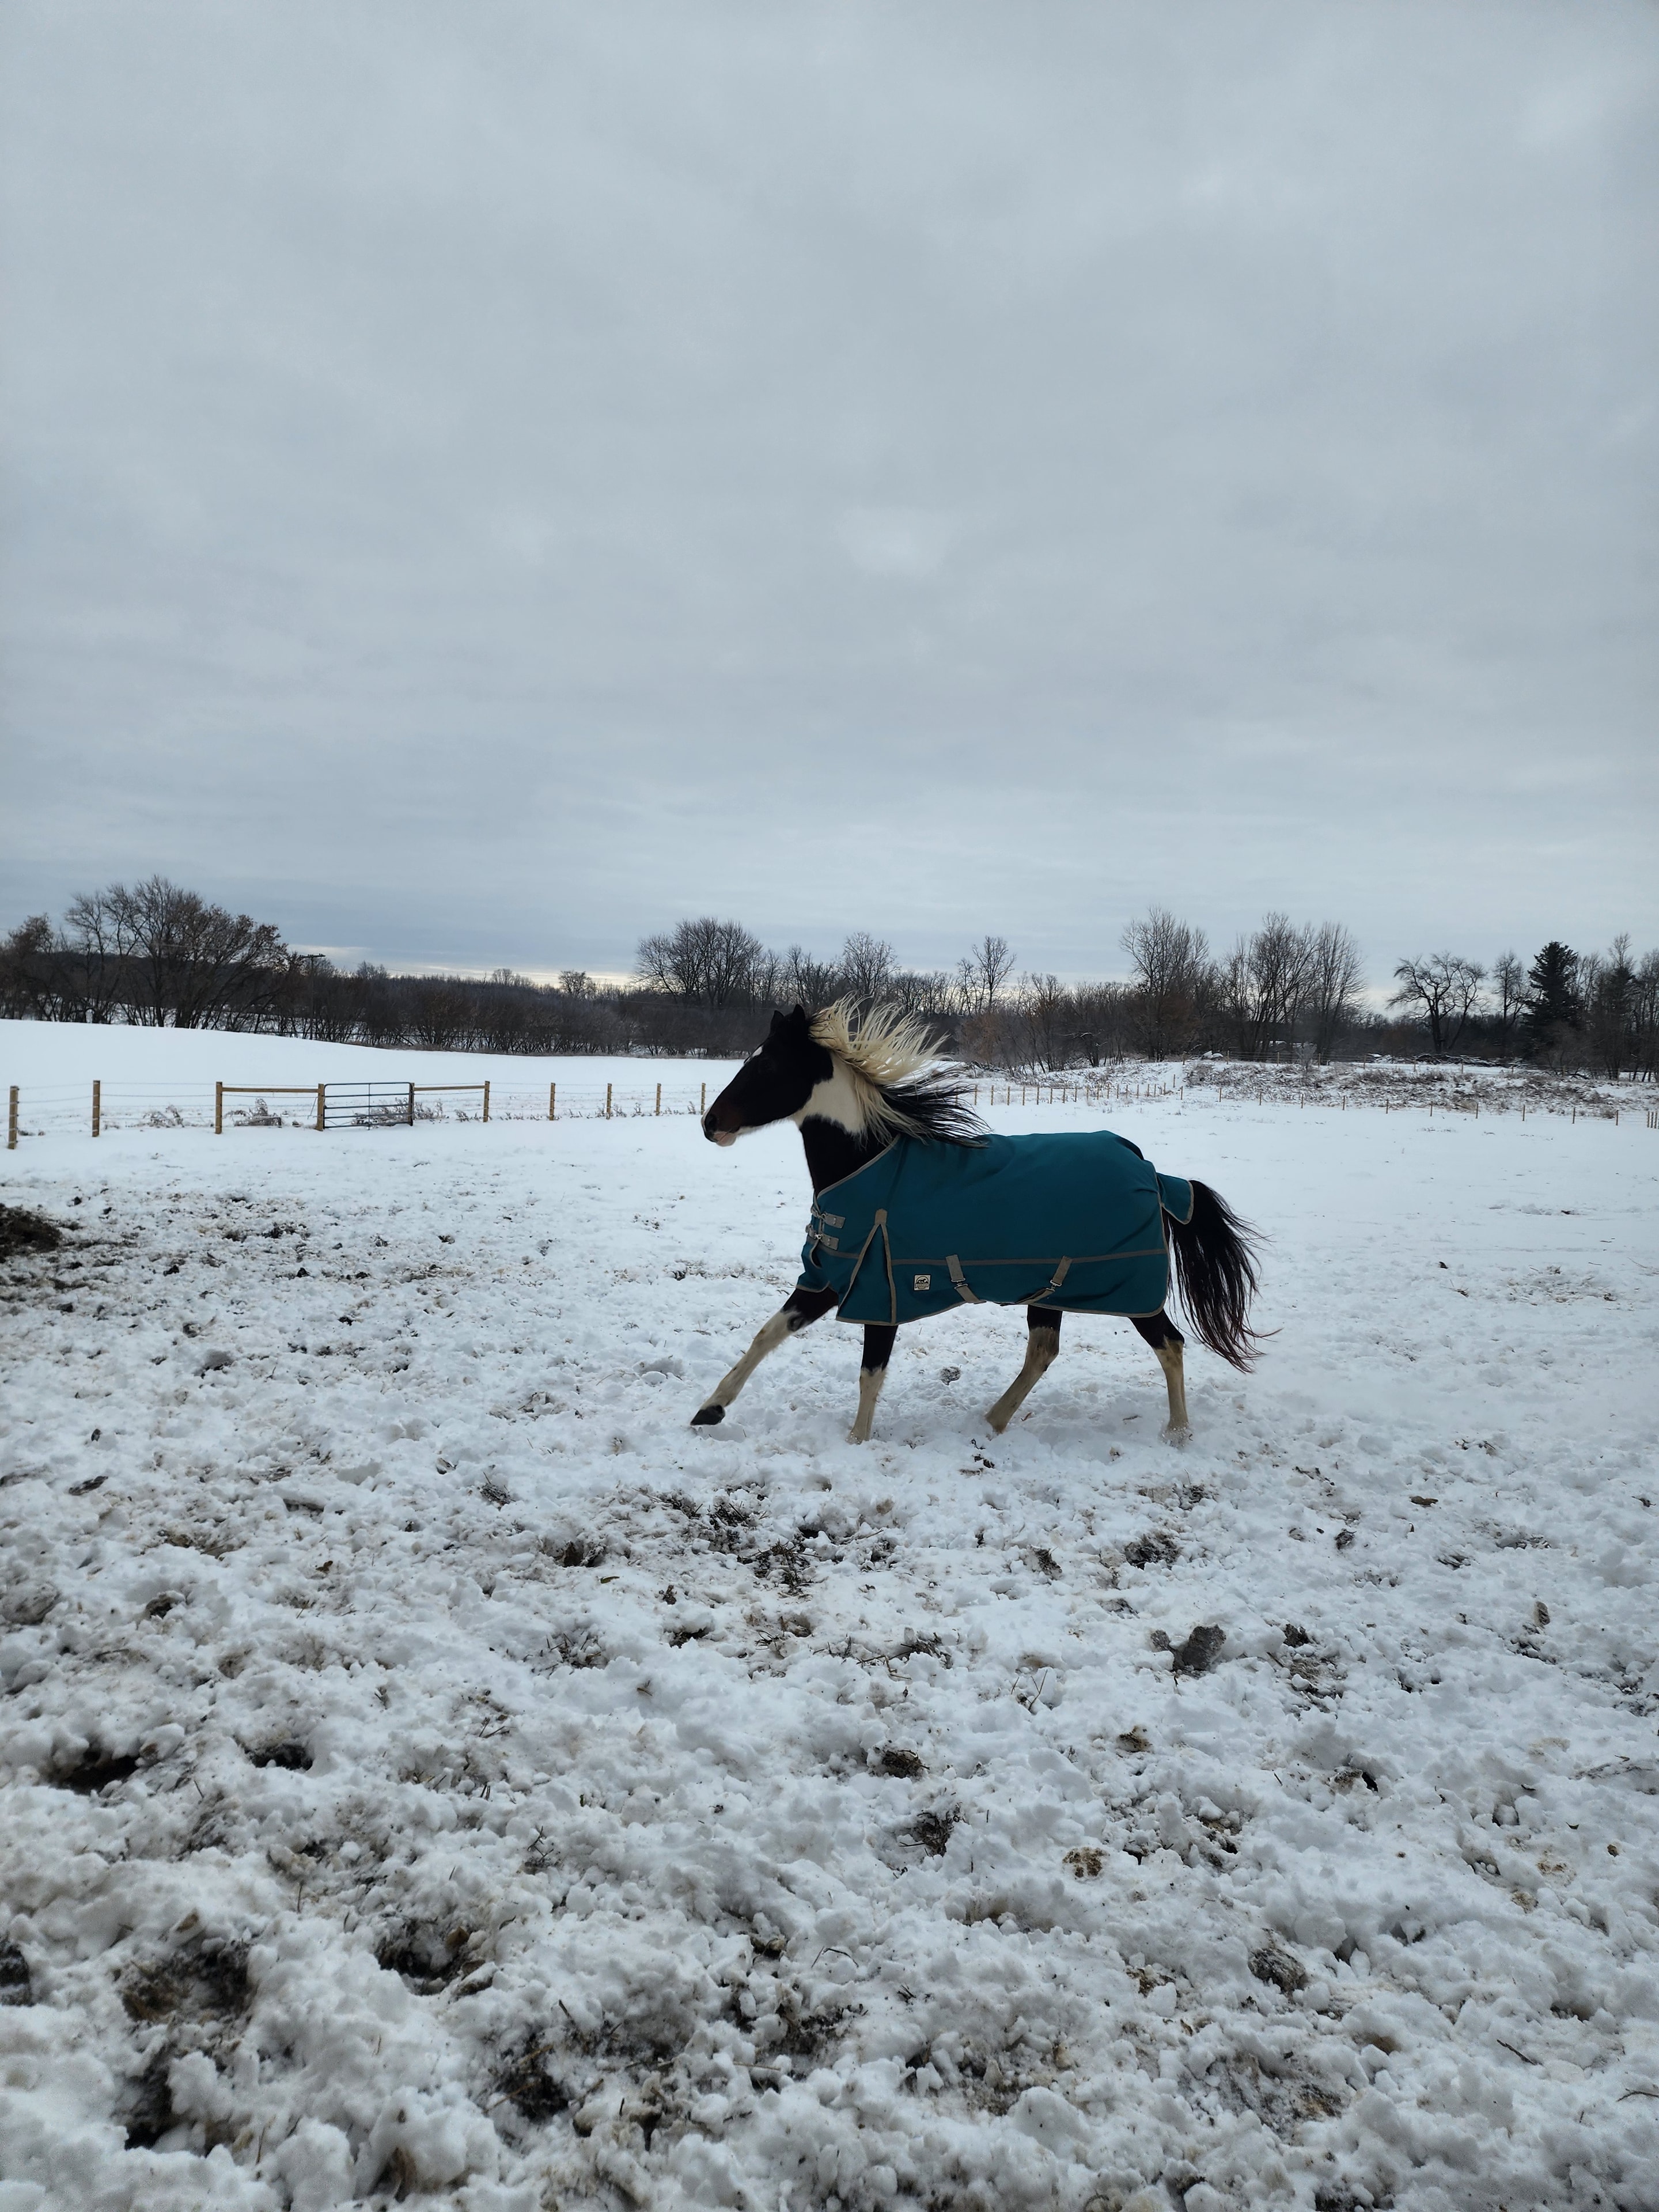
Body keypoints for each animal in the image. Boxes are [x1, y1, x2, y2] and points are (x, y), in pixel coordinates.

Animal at [692, 1001, 1262, 1444]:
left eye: (768, 1067)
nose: (710, 1124)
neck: (867, 1165)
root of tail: (1148, 1169)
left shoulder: (880, 1290)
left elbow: (870, 1373)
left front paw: (856, 1441)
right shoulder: (829, 1279)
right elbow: (767, 1335)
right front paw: (710, 1410)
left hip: (1131, 1292)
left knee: (1170, 1345)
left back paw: (1178, 1433)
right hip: (1051, 1287)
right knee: (1043, 1352)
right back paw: (992, 1421)